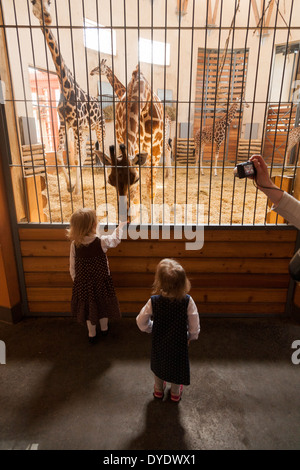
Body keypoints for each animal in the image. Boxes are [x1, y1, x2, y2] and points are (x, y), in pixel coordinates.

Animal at [30, 0, 105, 195]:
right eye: (33, 2)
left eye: (50, 2)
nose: (47, 17)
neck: (66, 87)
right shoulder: (65, 123)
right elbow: (60, 155)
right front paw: (71, 185)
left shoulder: (76, 124)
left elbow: (76, 158)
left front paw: (77, 190)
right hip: (85, 130)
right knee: (86, 153)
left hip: (98, 127)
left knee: (99, 149)